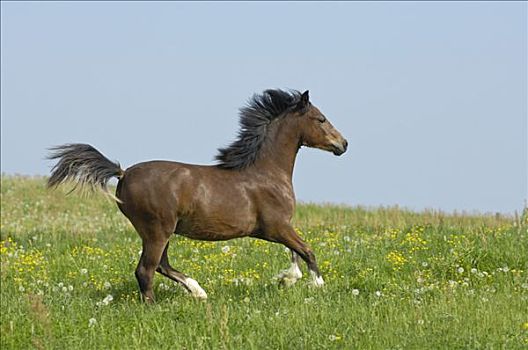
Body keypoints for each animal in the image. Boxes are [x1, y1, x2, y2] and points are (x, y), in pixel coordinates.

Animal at [47, 89, 346, 302]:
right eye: (321, 119)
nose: (343, 144)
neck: (266, 173)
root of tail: (122, 173)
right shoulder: (276, 226)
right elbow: (307, 250)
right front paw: (317, 286)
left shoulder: (278, 228)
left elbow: (296, 252)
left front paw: (288, 279)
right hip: (157, 230)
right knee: (146, 270)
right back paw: (155, 306)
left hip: (160, 231)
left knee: (161, 265)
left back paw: (199, 292)